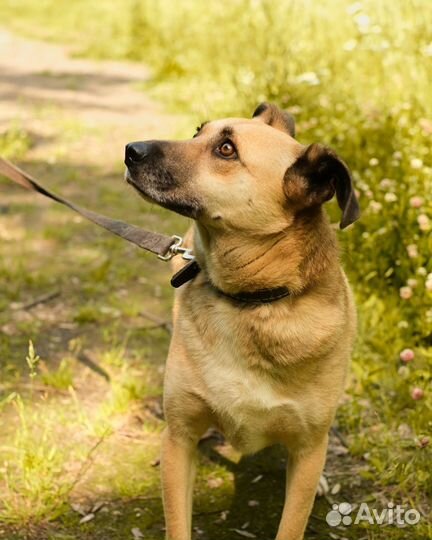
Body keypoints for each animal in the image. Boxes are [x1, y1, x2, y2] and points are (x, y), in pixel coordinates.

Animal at [125, 102, 362, 540]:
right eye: (198, 131)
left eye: (226, 149)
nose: (131, 149)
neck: (251, 304)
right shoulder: (182, 438)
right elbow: (177, 521)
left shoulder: (308, 451)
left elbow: (292, 523)